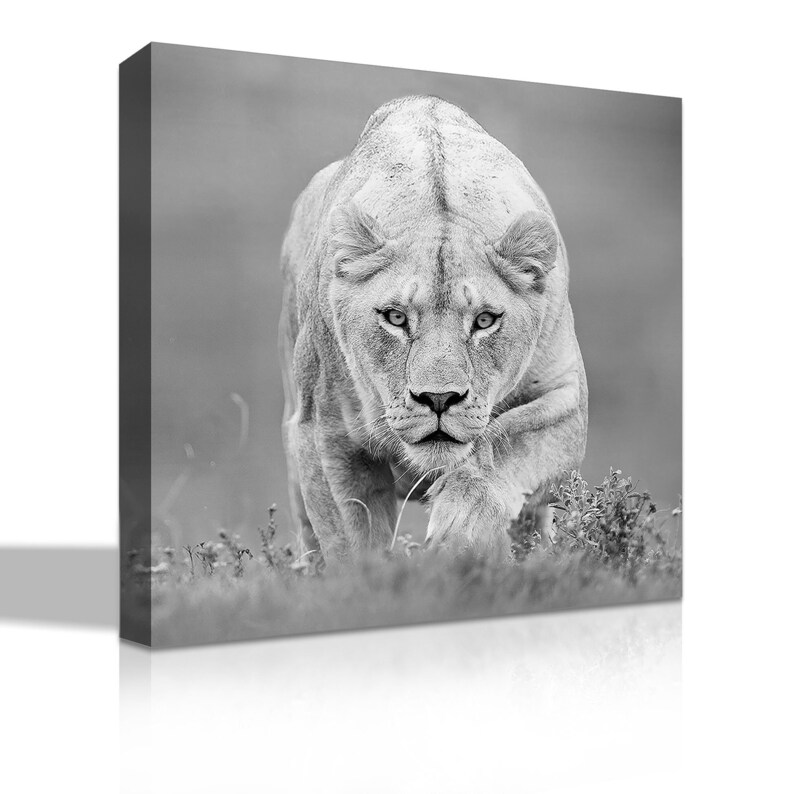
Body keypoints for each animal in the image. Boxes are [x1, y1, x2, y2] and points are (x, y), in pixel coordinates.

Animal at [279, 95, 587, 562]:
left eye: (484, 320)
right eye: (396, 317)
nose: (439, 399)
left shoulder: (567, 399)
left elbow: (505, 442)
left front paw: (461, 531)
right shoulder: (323, 433)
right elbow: (353, 543)